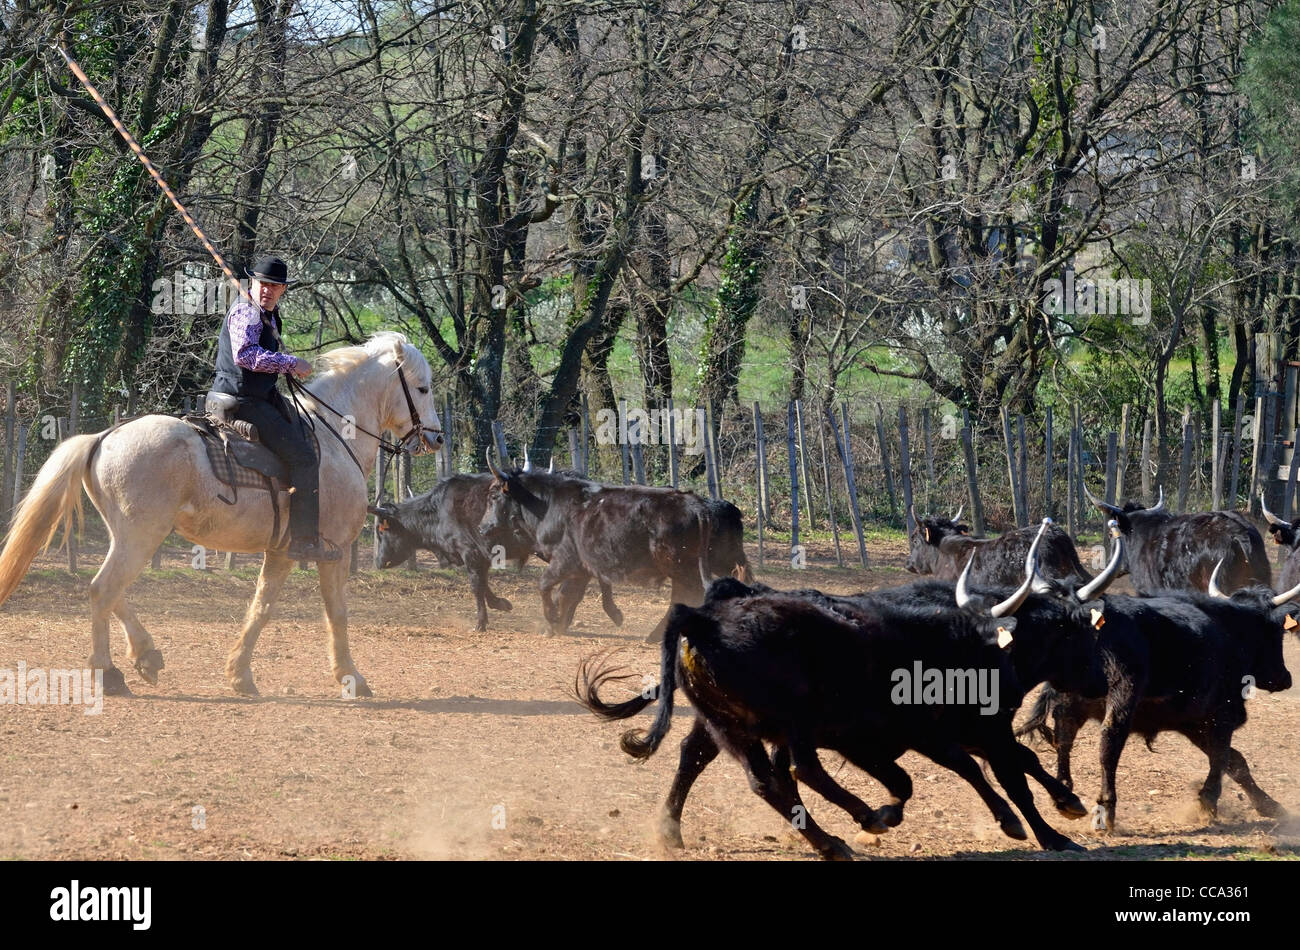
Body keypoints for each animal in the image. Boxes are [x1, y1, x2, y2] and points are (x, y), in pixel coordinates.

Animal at [0, 335, 441, 696]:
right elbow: (337, 613)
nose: (435, 438)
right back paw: (108, 675)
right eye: (422, 387)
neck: (333, 437)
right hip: (141, 537)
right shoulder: (336, 551)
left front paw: (240, 675)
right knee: (103, 590)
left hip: (127, 537)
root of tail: (104, 436)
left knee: (112, 593)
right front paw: (352, 678)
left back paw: (146, 656)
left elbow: (261, 608)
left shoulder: (281, 553)